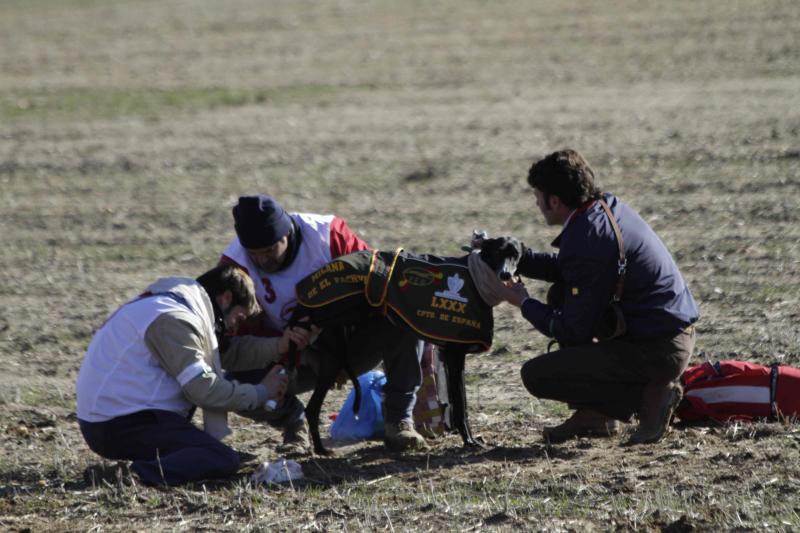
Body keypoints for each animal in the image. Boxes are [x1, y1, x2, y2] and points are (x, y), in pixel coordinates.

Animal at [290, 233, 524, 454]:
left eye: (515, 254)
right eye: (497, 252)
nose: (506, 275)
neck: (476, 277)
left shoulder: (451, 357)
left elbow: (461, 403)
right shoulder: (454, 355)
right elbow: (460, 405)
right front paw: (468, 440)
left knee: (311, 407)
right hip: (335, 354)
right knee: (312, 407)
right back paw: (320, 449)